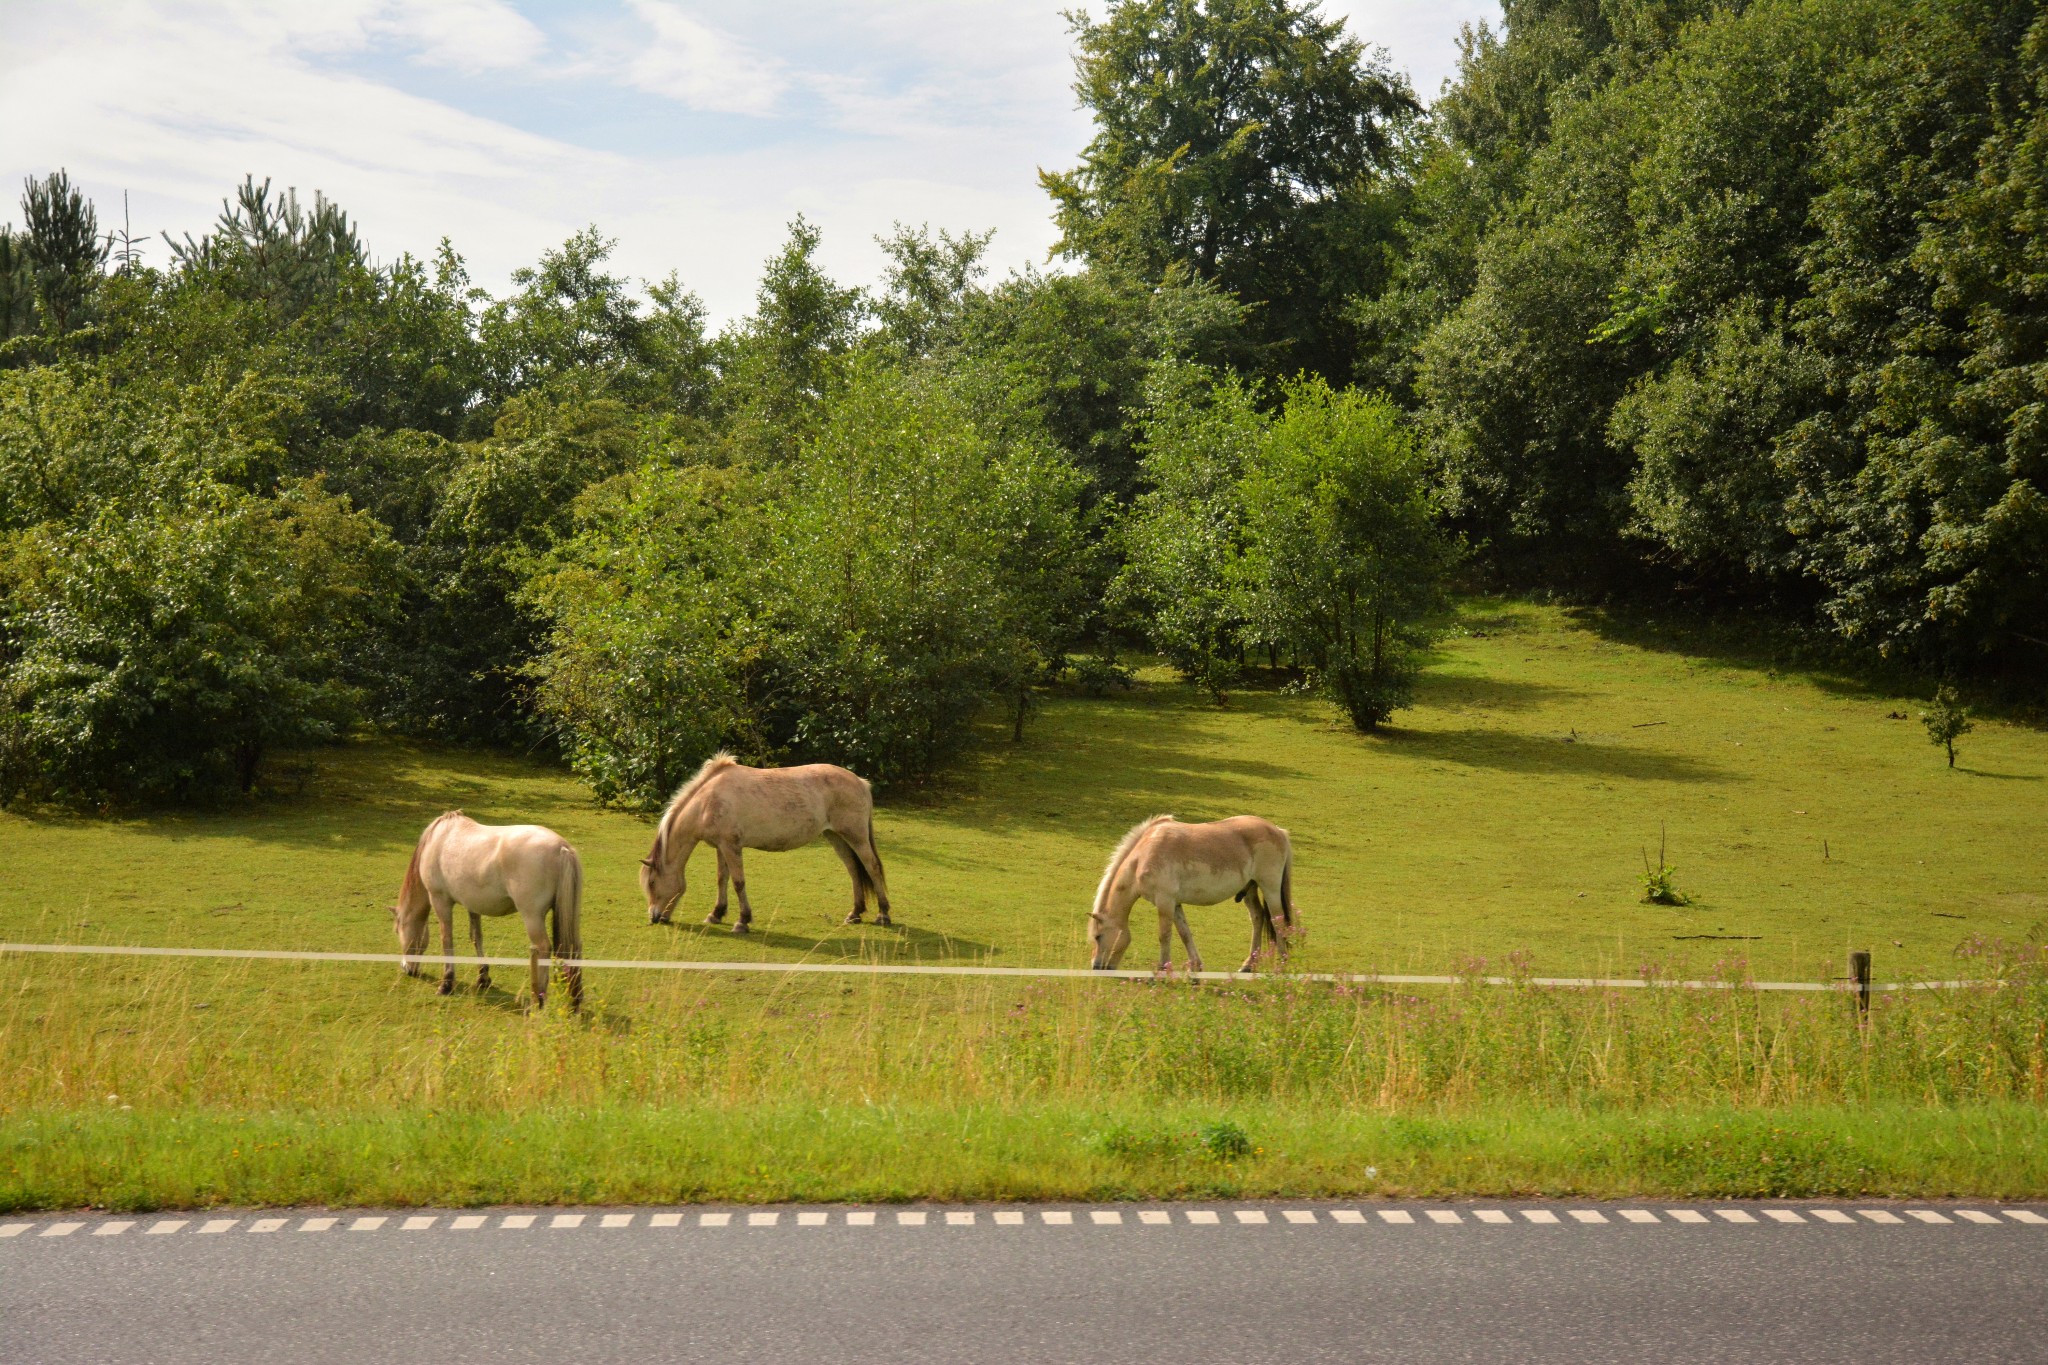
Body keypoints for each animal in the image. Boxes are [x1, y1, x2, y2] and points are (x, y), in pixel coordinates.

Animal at [391, 810, 585, 1015]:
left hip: (532, 917)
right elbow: (476, 937)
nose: (406, 968)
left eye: (398, 931)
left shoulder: (440, 901)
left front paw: (446, 984)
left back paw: (537, 1001)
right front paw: (483, 978)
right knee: (574, 948)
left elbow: (447, 940)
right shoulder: (473, 905)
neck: (438, 839)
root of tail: (562, 848)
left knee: (543, 948)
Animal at [638, 753, 888, 933]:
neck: (707, 802)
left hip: (855, 836)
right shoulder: (721, 846)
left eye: (652, 882)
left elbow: (738, 882)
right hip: (837, 837)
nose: (654, 917)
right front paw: (716, 914)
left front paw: (742, 921)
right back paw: (855, 914)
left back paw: (883, 915)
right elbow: (721, 879)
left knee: (872, 867)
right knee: (854, 871)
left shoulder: (732, 846)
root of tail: (861, 782)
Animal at [1089, 818, 1294, 978]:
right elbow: (1184, 933)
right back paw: (1248, 965)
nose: (1096, 967)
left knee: (1278, 922)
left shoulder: (1165, 901)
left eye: (1098, 937)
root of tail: (1279, 831)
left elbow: (1165, 935)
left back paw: (1282, 966)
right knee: (1257, 918)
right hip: (1250, 889)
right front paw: (1195, 967)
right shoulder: (1175, 904)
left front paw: (1161, 969)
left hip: (1270, 888)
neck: (1143, 856)